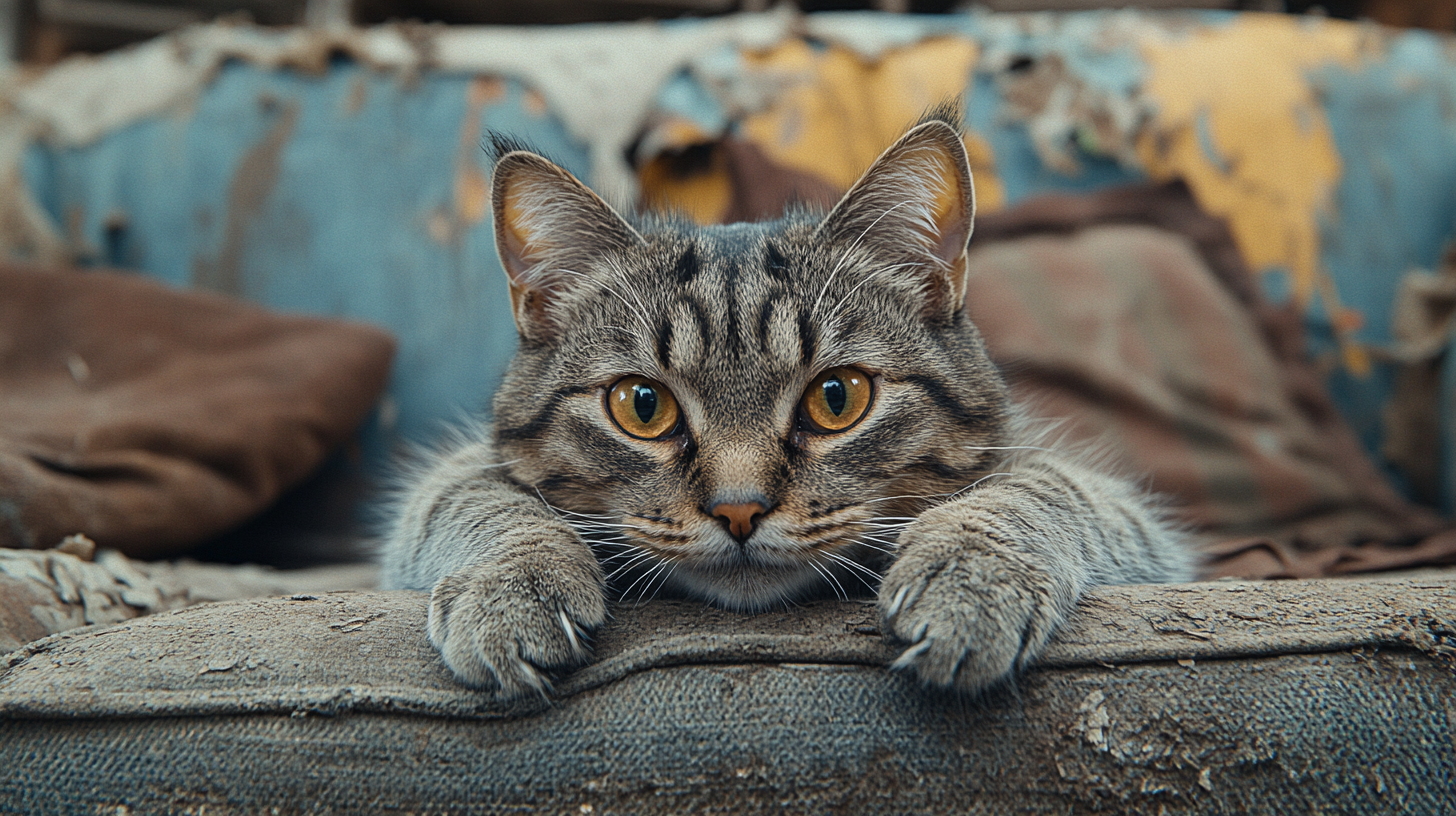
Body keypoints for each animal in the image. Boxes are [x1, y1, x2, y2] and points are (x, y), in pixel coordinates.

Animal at [378, 103, 1193, 702]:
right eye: (642, 406)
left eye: (837, 398)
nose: (739, 510)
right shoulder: (448, 488)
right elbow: (478, 497)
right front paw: (511, 589)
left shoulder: (1140, 531)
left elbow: (1040, 489)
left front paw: (970, 576)